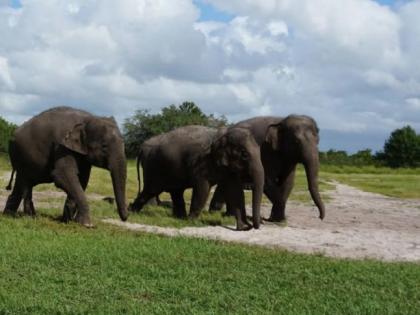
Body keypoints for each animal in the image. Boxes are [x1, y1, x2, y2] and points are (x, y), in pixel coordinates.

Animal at [128, 124, 262, 231]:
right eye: (244, 154)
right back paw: (131, 211)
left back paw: (179, 218)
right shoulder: (200, 162)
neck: (221, 134)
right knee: (151, 190)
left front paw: (243, 228)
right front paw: (192, 222)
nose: (253, 225)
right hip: (153, 167)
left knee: (175, 191)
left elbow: (235, 191)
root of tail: (141, 148)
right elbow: (202, 188)